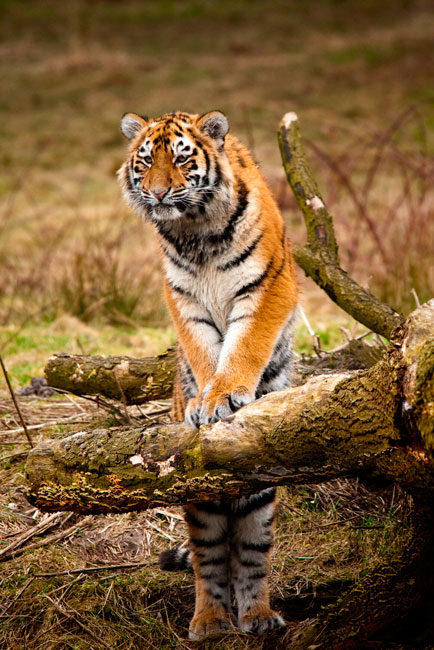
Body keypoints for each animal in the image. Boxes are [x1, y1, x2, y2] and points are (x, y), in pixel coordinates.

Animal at [118, 109, 299, 639]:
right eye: (144, 162)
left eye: (181, 159)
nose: (158, 194)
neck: (194, 230)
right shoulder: (182, 296)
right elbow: (203, 351)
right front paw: (204, 400)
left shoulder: (268, 284)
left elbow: (245, 345)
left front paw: (226, 395)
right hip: (198, 498)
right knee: (210, 559)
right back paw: (211, 622)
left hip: (259, 495)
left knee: (252, 557)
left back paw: (258, 616)